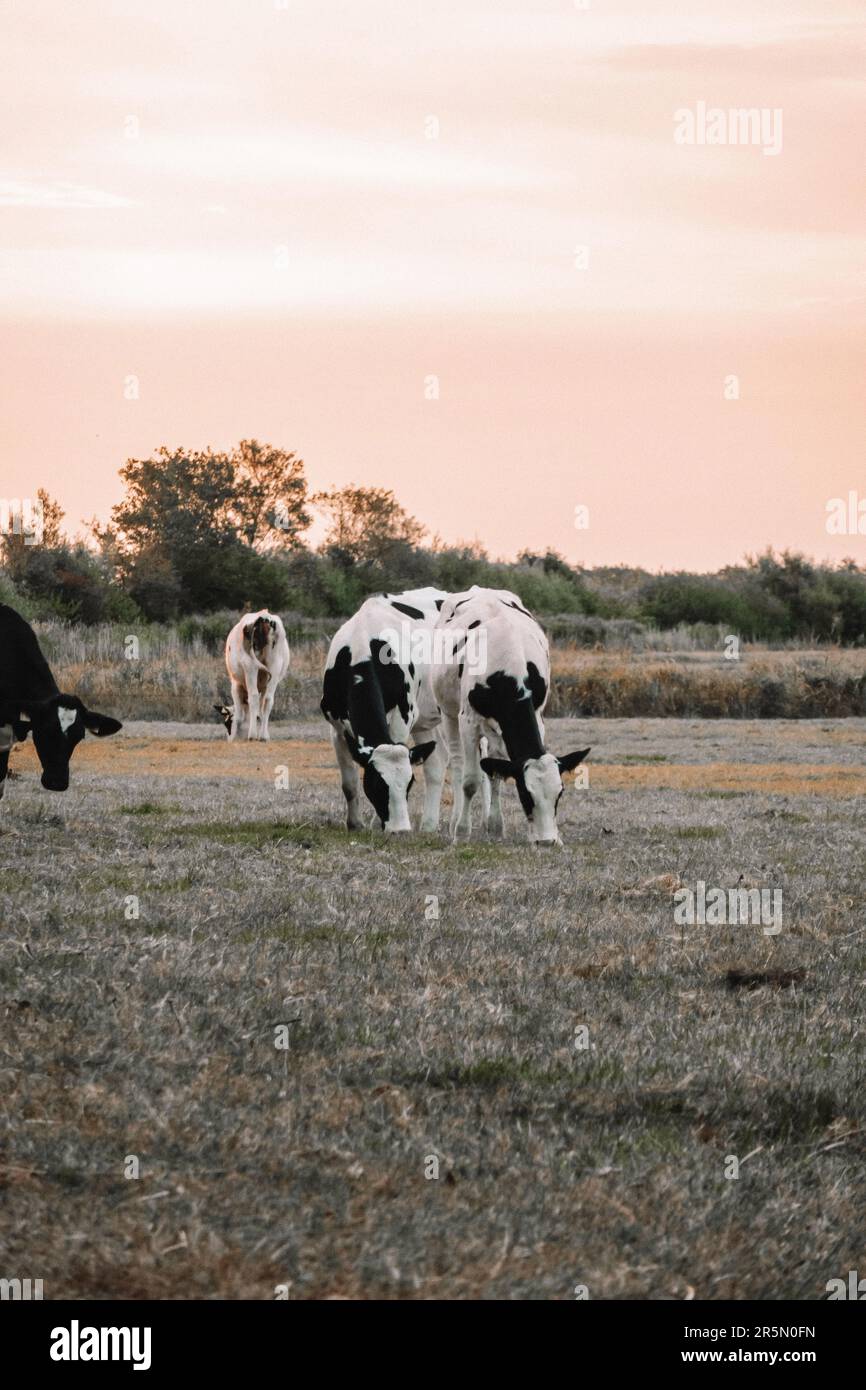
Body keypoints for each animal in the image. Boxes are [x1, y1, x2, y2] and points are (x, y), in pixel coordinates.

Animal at [220, 610, 290, 741]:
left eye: (227, 723)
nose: (229, 738)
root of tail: (264, 616)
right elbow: (260, 711)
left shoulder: (235, 685)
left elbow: (239, 714)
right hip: (275, 666)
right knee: (268, 700)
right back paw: (263, 736)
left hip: (250, 666)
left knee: (253, 696)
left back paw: (252, 735)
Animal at [321, 587, 447, 833]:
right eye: (377, 783)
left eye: (409, 783)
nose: (401, 830)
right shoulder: (337, 729)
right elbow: (349, 783)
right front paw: (355, 823)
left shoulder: (402, 718)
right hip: (426, 721)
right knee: (437, 763)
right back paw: (430, 824)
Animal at [431, 586, 589, 845]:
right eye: (526, 795)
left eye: (559, 794)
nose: (547, 841)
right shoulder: (469, 721)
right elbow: (470, 780)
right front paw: (462, 833)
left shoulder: (537, 715)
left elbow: (496, 772)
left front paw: (498, 826)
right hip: (448, 712)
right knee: (457, 763)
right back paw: (455, 822)